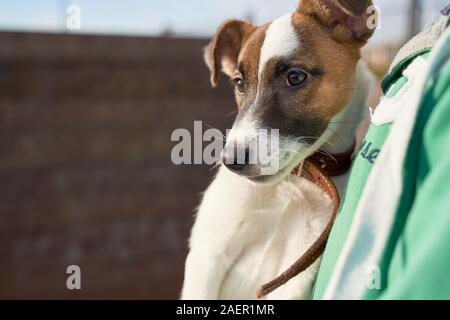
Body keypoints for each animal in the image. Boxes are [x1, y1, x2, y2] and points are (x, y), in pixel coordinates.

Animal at [181, 0, 374, 300]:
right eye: (239, 82)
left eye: (295, 77)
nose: (231, 161)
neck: (290, 185)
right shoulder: (208, 257)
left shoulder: (295, 273)